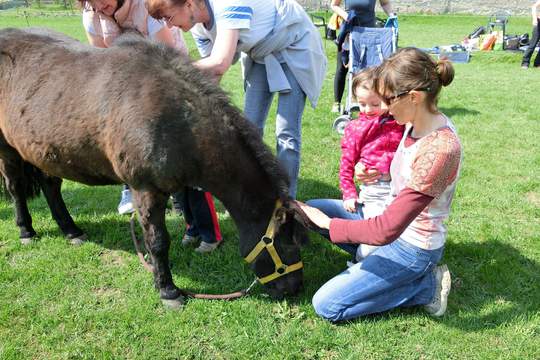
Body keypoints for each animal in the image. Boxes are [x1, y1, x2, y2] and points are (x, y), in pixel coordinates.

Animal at [0, 28, 308, 306]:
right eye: (288, 242)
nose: (294, 288)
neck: (178, 119)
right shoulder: (146, 190)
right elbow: (158, 242)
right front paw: (168, 290)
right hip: (9, 150)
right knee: (15, 188)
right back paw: (26, 230)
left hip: (45, 150)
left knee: (51, 186)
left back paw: (71, 230)